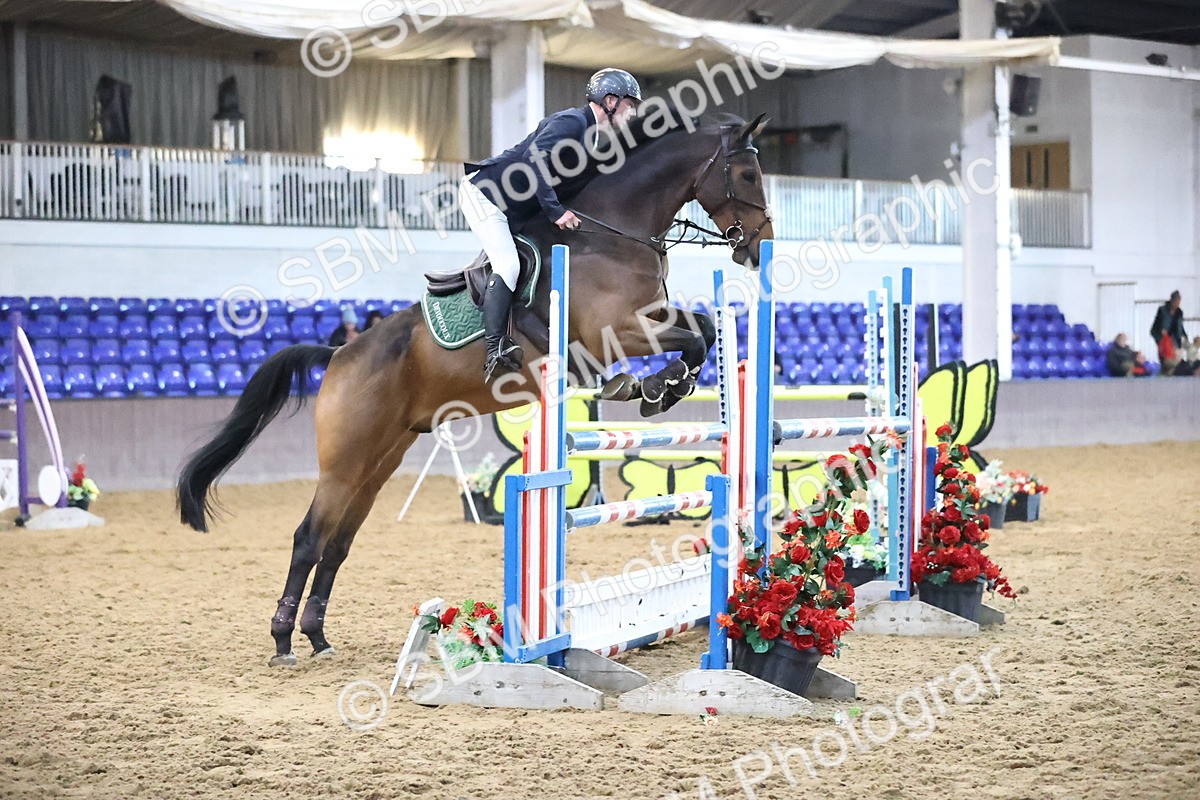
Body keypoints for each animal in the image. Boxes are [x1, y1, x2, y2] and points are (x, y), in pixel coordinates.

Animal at [177, 108, 775, 666]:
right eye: (747, 173)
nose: (758, 246)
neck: (611, 233)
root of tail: (340, 355)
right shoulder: (620, 329)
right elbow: (692, 336)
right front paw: (653, 386)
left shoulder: (649, 318)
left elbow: (703, 327)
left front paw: (665, 387)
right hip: (345, 461)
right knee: (309, 538)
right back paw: (283, 639)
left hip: (380, 460)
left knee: (338, 544)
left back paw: (318, 637)